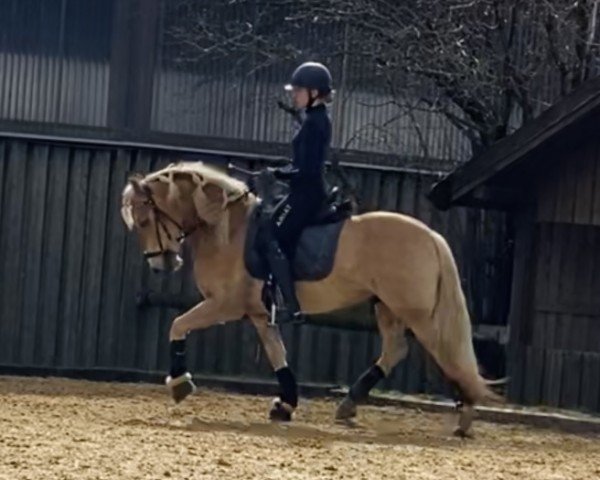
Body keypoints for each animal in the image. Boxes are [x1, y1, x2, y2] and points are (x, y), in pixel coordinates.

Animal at [119, 161, 500, 436]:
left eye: (143, 220)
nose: (161, 264)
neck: (226, 228)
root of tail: (431, 236)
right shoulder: (259, 314)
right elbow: (278, 356)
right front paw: (285, 404)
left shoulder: (224, 305)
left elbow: (177, 324)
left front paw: (180, 383)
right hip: (387, 306)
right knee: (396, 350)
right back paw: (349, 405)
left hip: (419, 314)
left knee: (449, 356)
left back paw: (465, 419)